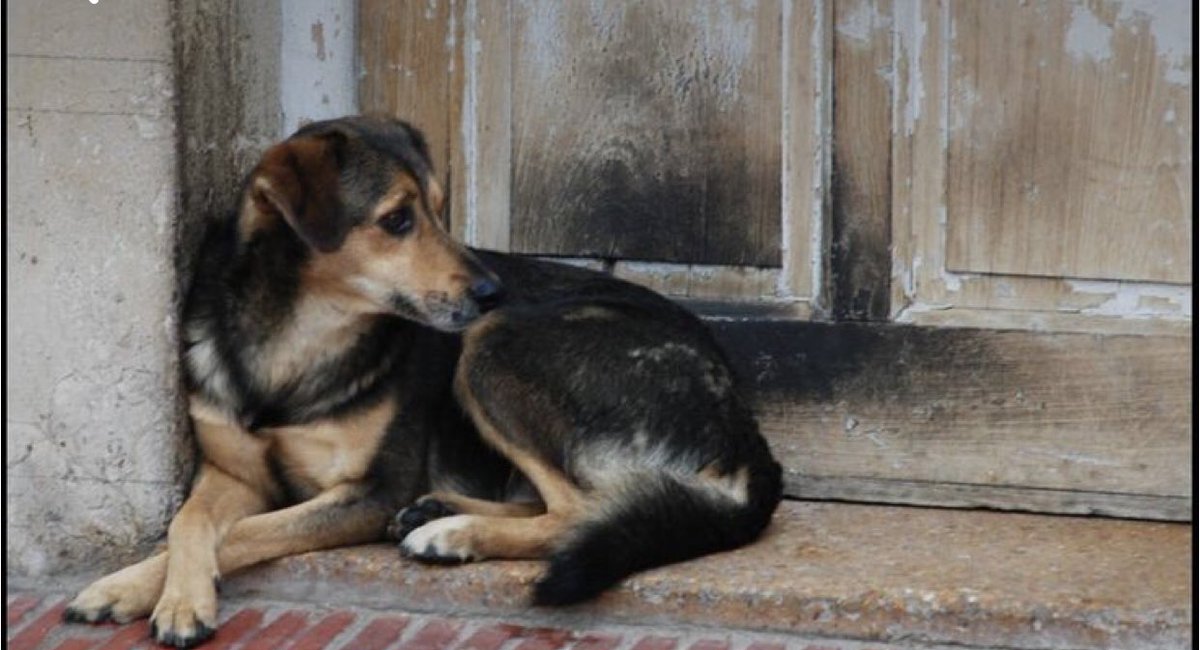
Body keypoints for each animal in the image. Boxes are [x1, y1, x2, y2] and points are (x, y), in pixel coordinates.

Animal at [65, 115, 782, 647]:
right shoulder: (233, 471)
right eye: (397, 220)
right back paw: (438, 510)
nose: (492, 290)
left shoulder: (371, 489)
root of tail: (746, 429)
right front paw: (131, 588)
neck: (294, 339)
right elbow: (189, 523)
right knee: (579, 502)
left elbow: (237, 533)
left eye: (439, 210)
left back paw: (451, 533)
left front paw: (177, 600)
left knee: (578, 511)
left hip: (493, 348)